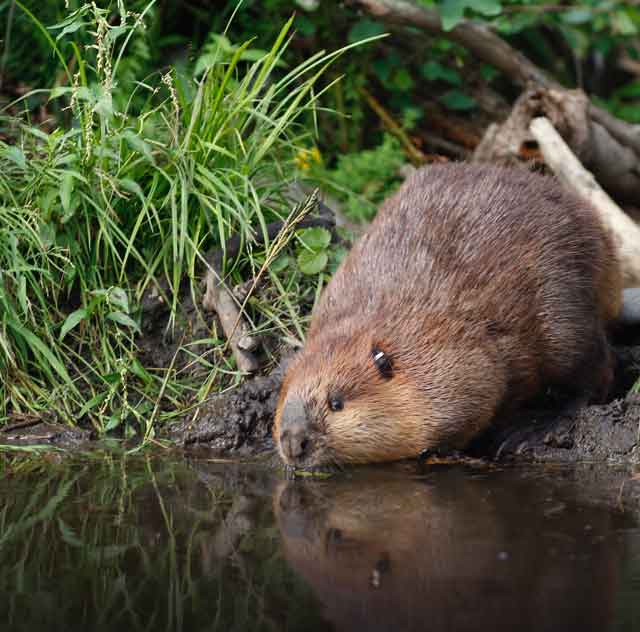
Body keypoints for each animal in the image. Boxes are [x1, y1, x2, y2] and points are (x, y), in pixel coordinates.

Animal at [272, 165, 624, 466]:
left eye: (336, 403)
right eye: (284, 396)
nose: (292, 441)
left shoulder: (460, 359)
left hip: (565, 314)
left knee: (595, 372)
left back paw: (538, 428)